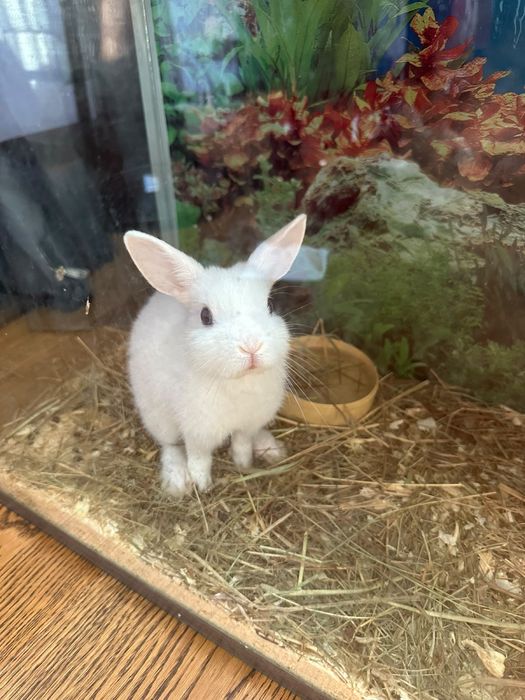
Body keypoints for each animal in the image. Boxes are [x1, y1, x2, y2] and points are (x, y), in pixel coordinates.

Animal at [123, 214, 306, 497]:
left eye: (270, 305)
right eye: (205, 316)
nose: (251, 346)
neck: (240, 382)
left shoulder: (247, 424)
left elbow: (242, 444)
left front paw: (244, 466)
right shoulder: (198, 432)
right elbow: (199, 459)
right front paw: (202, 486)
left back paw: (271, 449)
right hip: (156, 415)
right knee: (170, 445)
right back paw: (177, 481)